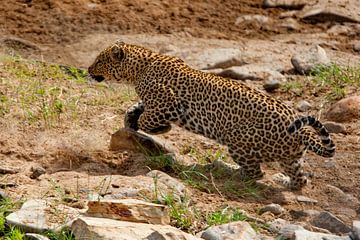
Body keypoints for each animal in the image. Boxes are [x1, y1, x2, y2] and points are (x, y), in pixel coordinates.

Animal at [88, 41, 336, 190]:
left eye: (99, 61)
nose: (88, 70)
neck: (140, 68)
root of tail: (303, 133)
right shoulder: (155, 102)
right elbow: (137, 107)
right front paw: (130, 119)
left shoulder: (168, 103)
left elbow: (149, 119)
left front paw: (158, 128)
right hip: (290, 158)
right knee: (300, 177)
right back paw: (289, 185)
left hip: (239, 144)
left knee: (256, 173)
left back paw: (230, 174)